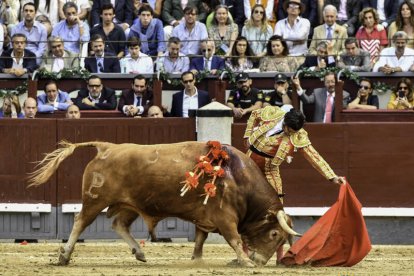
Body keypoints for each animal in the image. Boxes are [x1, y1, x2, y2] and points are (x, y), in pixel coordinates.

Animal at [29, 141, 300, 266]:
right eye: (274, 234)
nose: (260, 261)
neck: (236, 176)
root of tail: (107, 147)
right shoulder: (225, 218)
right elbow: (233, 239)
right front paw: (244, 261)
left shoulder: (205, 216)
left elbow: (200, 238)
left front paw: (196, 259)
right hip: (95, 200)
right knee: (80, 222)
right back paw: (64, 256)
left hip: (129, 205)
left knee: (119, 224)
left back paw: (139, 253)